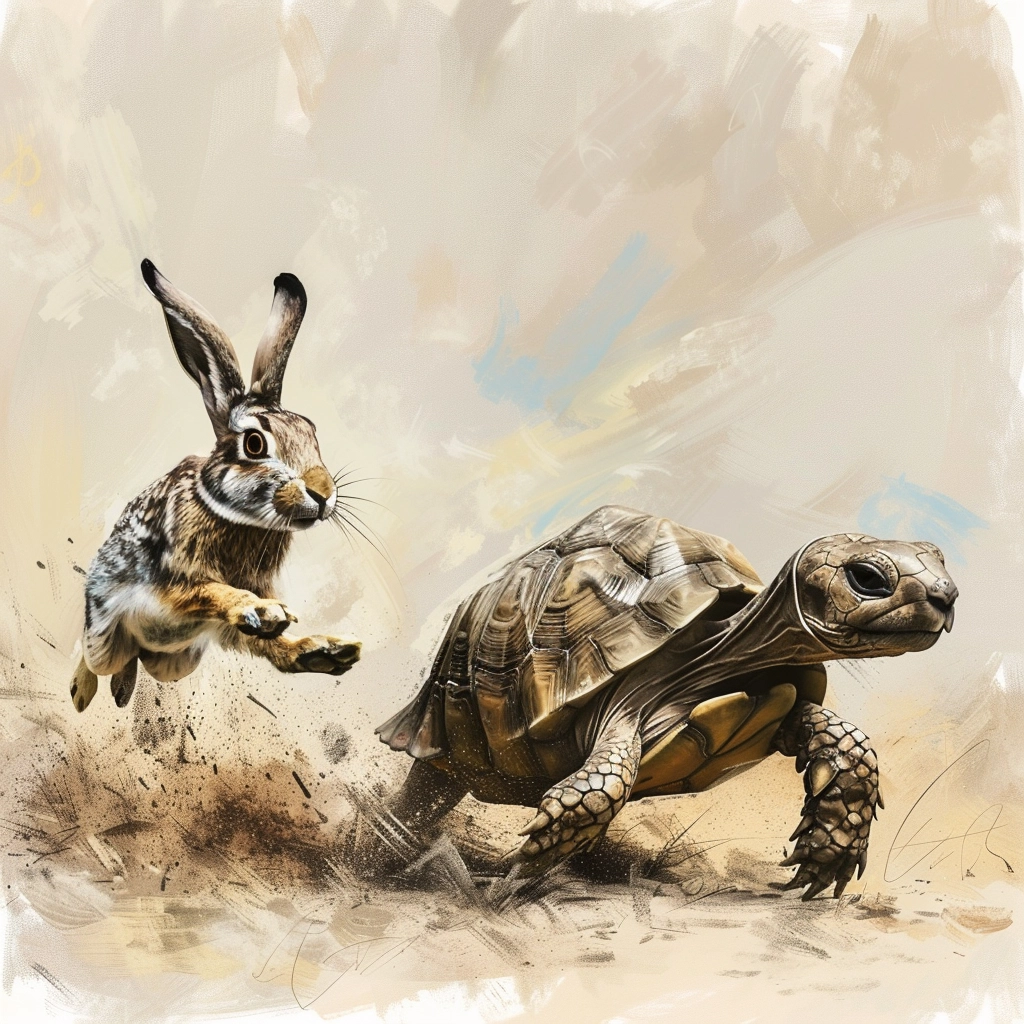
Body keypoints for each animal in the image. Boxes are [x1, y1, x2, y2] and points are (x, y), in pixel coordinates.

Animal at [70, 259, 361, 712]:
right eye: (255, 444)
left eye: (311, 432)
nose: (323, 493)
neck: (236, 516)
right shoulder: (174, 579)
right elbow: (213, 591)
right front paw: (262, 610)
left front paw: (281, 622)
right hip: (103, 634)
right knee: (92, 652)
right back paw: (82, 691)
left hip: (179, 661)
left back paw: (324, 651)